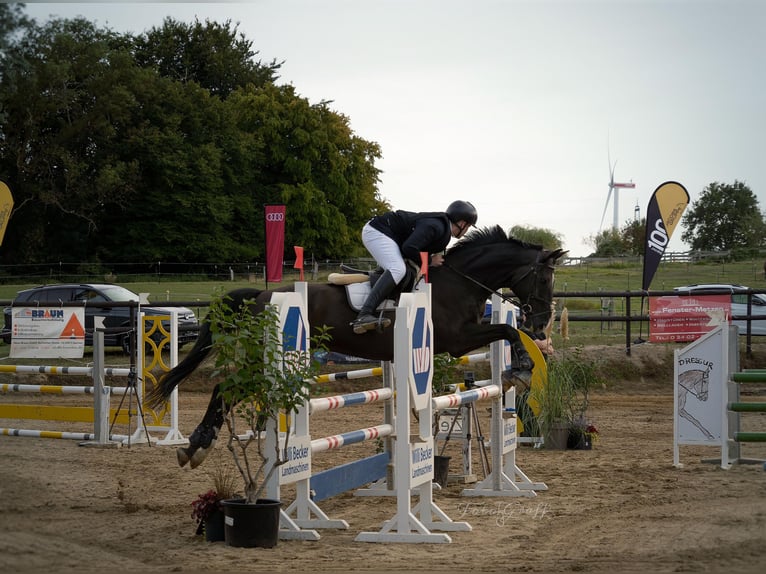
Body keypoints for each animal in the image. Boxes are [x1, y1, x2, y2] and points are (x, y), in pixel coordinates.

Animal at [147, 225, 567, 468]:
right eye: (544, 279)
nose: (541, 322)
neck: (460, 280)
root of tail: (261, 295)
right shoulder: (457, 338)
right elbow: (508, 330)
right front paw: (522, 368)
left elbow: (506, 331)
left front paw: (520, 367)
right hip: (261, 358)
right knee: (225, 388)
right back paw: (196, 446)